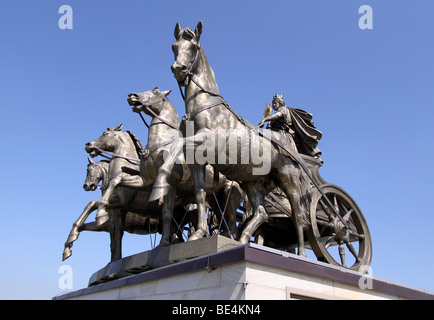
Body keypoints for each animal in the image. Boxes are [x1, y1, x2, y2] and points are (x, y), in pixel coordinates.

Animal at [154, 21, 314, 256]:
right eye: (174, 46)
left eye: (193, 46)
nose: (178, 69)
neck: (206, 108)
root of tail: (289, 145)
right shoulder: (196, 161)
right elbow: (200, 194)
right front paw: (198, 233)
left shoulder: (207, 143)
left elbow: (177, 146)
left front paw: (160, 181)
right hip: (253, 184)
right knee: (261, 213)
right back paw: (243, 238)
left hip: (288, 180)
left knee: (298, 215)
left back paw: (301, 253)